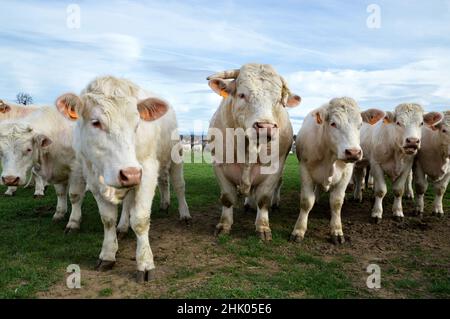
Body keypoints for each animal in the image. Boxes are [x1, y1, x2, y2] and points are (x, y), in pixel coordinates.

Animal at [55, 76, 189, 284]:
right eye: (96, 122)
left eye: (137, 124)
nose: (130, 173)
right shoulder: (93, 176)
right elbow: (108, 219)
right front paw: (108, 254)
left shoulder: (146, 170)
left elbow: (140, 219)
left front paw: (145, 264)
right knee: (135, 198)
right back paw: (126, 225)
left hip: (175, 157)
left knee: (179, 186)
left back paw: (184, 214)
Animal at [206, 63, 300, 241]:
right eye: (242, 94)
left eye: (278, 100)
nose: (266, 127)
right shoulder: (219, 165)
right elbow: (227, 198)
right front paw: (224, 225)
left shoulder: (274, 168)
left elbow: (263, 199)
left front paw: (262, 227)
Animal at [292, 98, 384, 245]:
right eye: (333, 123)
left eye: (360, 125)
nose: (353, 152)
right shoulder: (305, 170)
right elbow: (306, 201)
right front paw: (299, 230)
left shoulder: (346, 174)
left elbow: (336, 202)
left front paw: (336, 231)